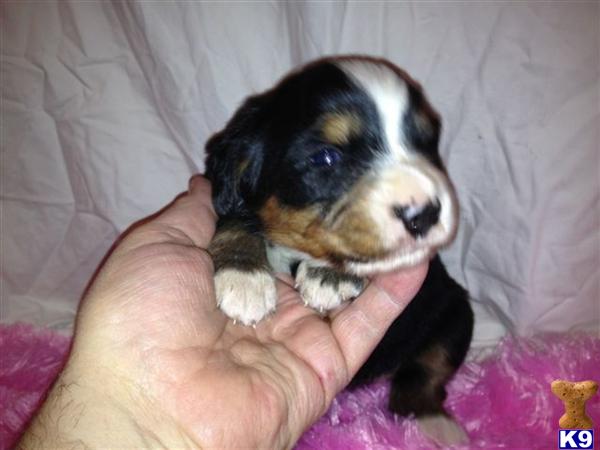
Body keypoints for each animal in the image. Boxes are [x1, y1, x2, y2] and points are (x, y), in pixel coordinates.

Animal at [205, 55, 474, 442]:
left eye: (425, 145)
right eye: (326, 158)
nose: (425, 214)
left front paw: (328, 276)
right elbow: (236, 217)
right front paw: (243, 276)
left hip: (454, 310)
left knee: (424, 373)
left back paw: (435, 425)